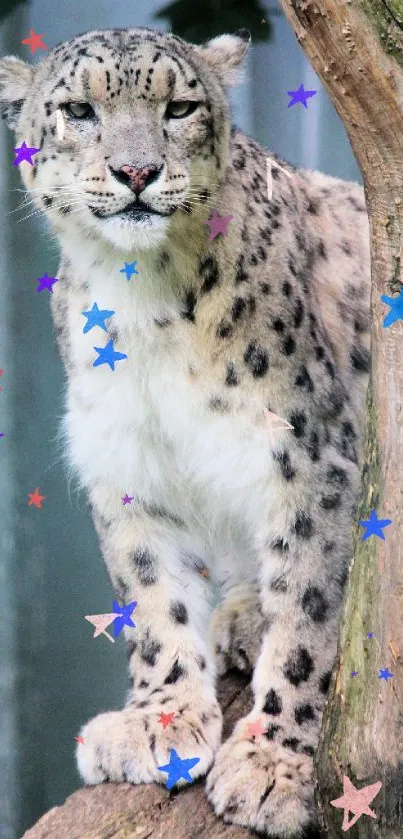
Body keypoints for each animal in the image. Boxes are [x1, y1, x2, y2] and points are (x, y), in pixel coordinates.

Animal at [0, 27, 372, 839]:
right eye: (79, 110)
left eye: (179, 108)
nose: (136, 171)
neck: (141, 298)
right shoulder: (125, 457)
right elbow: (150, 595)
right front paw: (159, 719)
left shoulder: (307, 450)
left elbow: (308, 607)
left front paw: (272, 766)